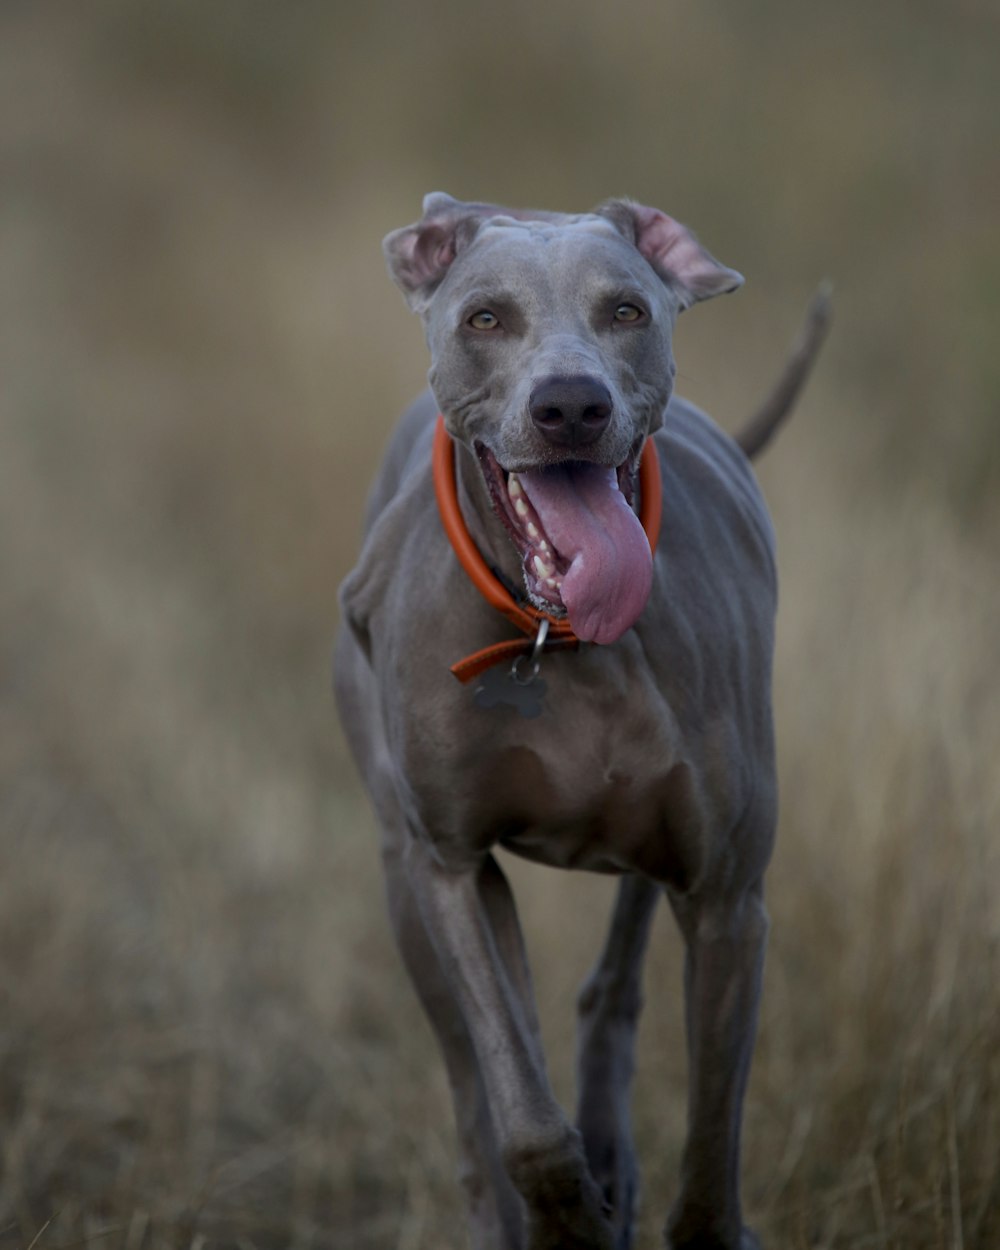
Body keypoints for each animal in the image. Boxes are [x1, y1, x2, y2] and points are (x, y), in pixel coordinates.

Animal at [335, 195, 830, 1250]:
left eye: (627, 311)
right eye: (485, 318)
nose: (572, 405)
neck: (557, 640)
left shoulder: (730, 901)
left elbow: (710, 1162)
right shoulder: (449, 867)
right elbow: (521, 1110)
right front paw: (570, 1219)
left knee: (615, 983)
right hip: (405, 878)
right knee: (476, 1079)